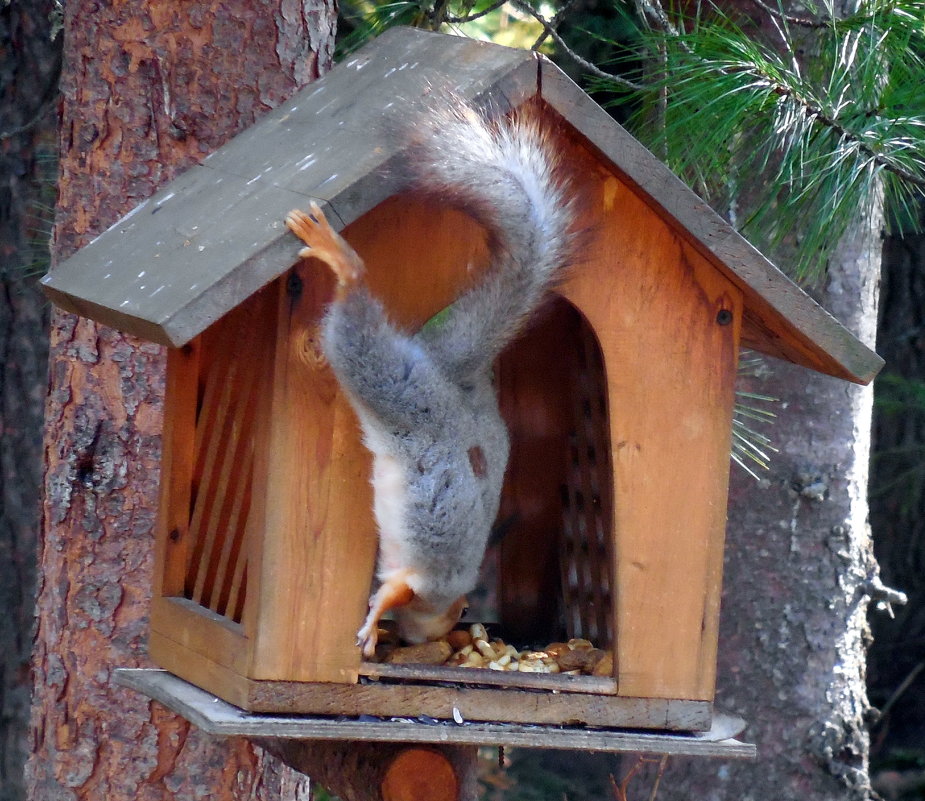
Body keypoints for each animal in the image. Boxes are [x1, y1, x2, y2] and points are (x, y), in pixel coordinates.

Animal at [286, 103, 572, 660]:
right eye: (459, 612)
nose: (450, 629)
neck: (446, 589)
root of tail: (448, 378)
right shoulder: (425, 580)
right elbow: (392, 592)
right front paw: (373, 625)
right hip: (391, 384)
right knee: (355, 316)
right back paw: (341, 258)